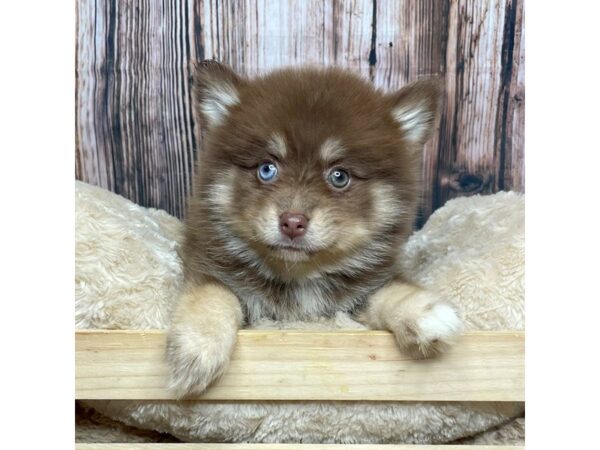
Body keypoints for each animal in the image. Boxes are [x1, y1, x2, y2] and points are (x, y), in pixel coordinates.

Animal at [166, 59, 462, 398]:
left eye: (339, 176)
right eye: (267, 169)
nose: (292, 222)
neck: (300, 278)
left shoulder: (355, 295)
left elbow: (387, 290)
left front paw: (424, 311)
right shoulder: (206, 263)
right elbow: (213, 294)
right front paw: (197, 348)